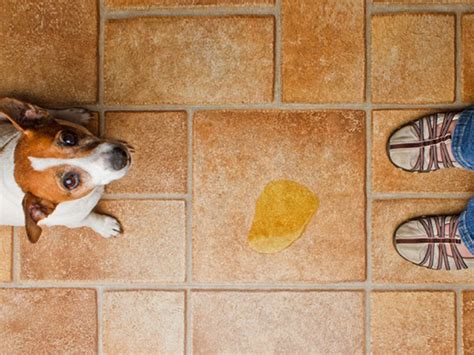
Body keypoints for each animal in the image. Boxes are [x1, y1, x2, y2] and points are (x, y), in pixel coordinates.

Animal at [0, 97, 131, 243]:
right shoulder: (75, 221)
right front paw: (106, 227)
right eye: (69, 182)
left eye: (69, 138)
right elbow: (91, 219)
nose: (120, 156)